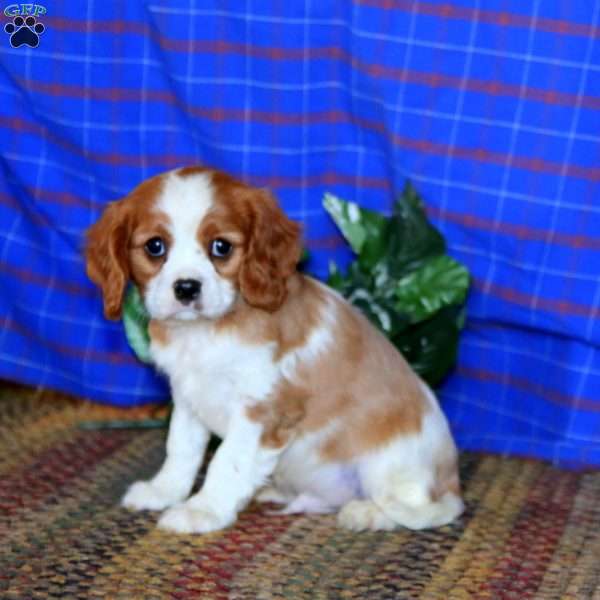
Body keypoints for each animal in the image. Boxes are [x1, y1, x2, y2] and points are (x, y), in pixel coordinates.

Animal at [84, 165, 462, 536]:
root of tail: (452, 485)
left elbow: (227, 461)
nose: (187, 287)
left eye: (221, 247)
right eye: (155, 246)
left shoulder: (262, 411)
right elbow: (181, 448)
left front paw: (202, 510)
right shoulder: (188, 398)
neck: (208, 331)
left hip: (389, 464)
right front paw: (163, 491)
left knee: (414, 507)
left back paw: (366, 512)